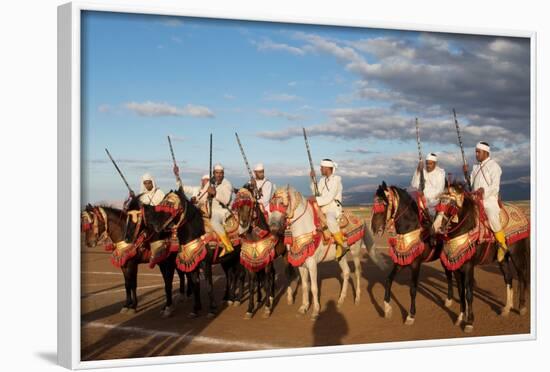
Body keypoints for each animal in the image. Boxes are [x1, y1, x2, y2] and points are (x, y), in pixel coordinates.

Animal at [268, 186, 382, 320]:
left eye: (282, 203)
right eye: (271, 204)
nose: (273, 226)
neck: (305, 229)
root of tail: (360, 218)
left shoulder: (312, 265)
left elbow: (313, 288)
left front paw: (315, 311)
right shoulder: (301, 265)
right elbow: (305, 286)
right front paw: (303, 307)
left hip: (355, 251)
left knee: (358, 272)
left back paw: (357, 298)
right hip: (341, 256)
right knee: (346, 272)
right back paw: (341, 299)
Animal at [434, 185, 532, 332]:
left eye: (451, 205)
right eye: (439, 203)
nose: (435, 226)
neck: (466, 229)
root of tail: (521, 213)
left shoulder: (469, 267)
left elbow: (468, 294)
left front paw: (469, 322)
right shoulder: (457, 267)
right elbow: (461, 293)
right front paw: (460, 318)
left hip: (517, 254)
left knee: (521, 276)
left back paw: (522, 307)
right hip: (503, 259)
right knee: (508, 278)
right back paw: (506, 308)